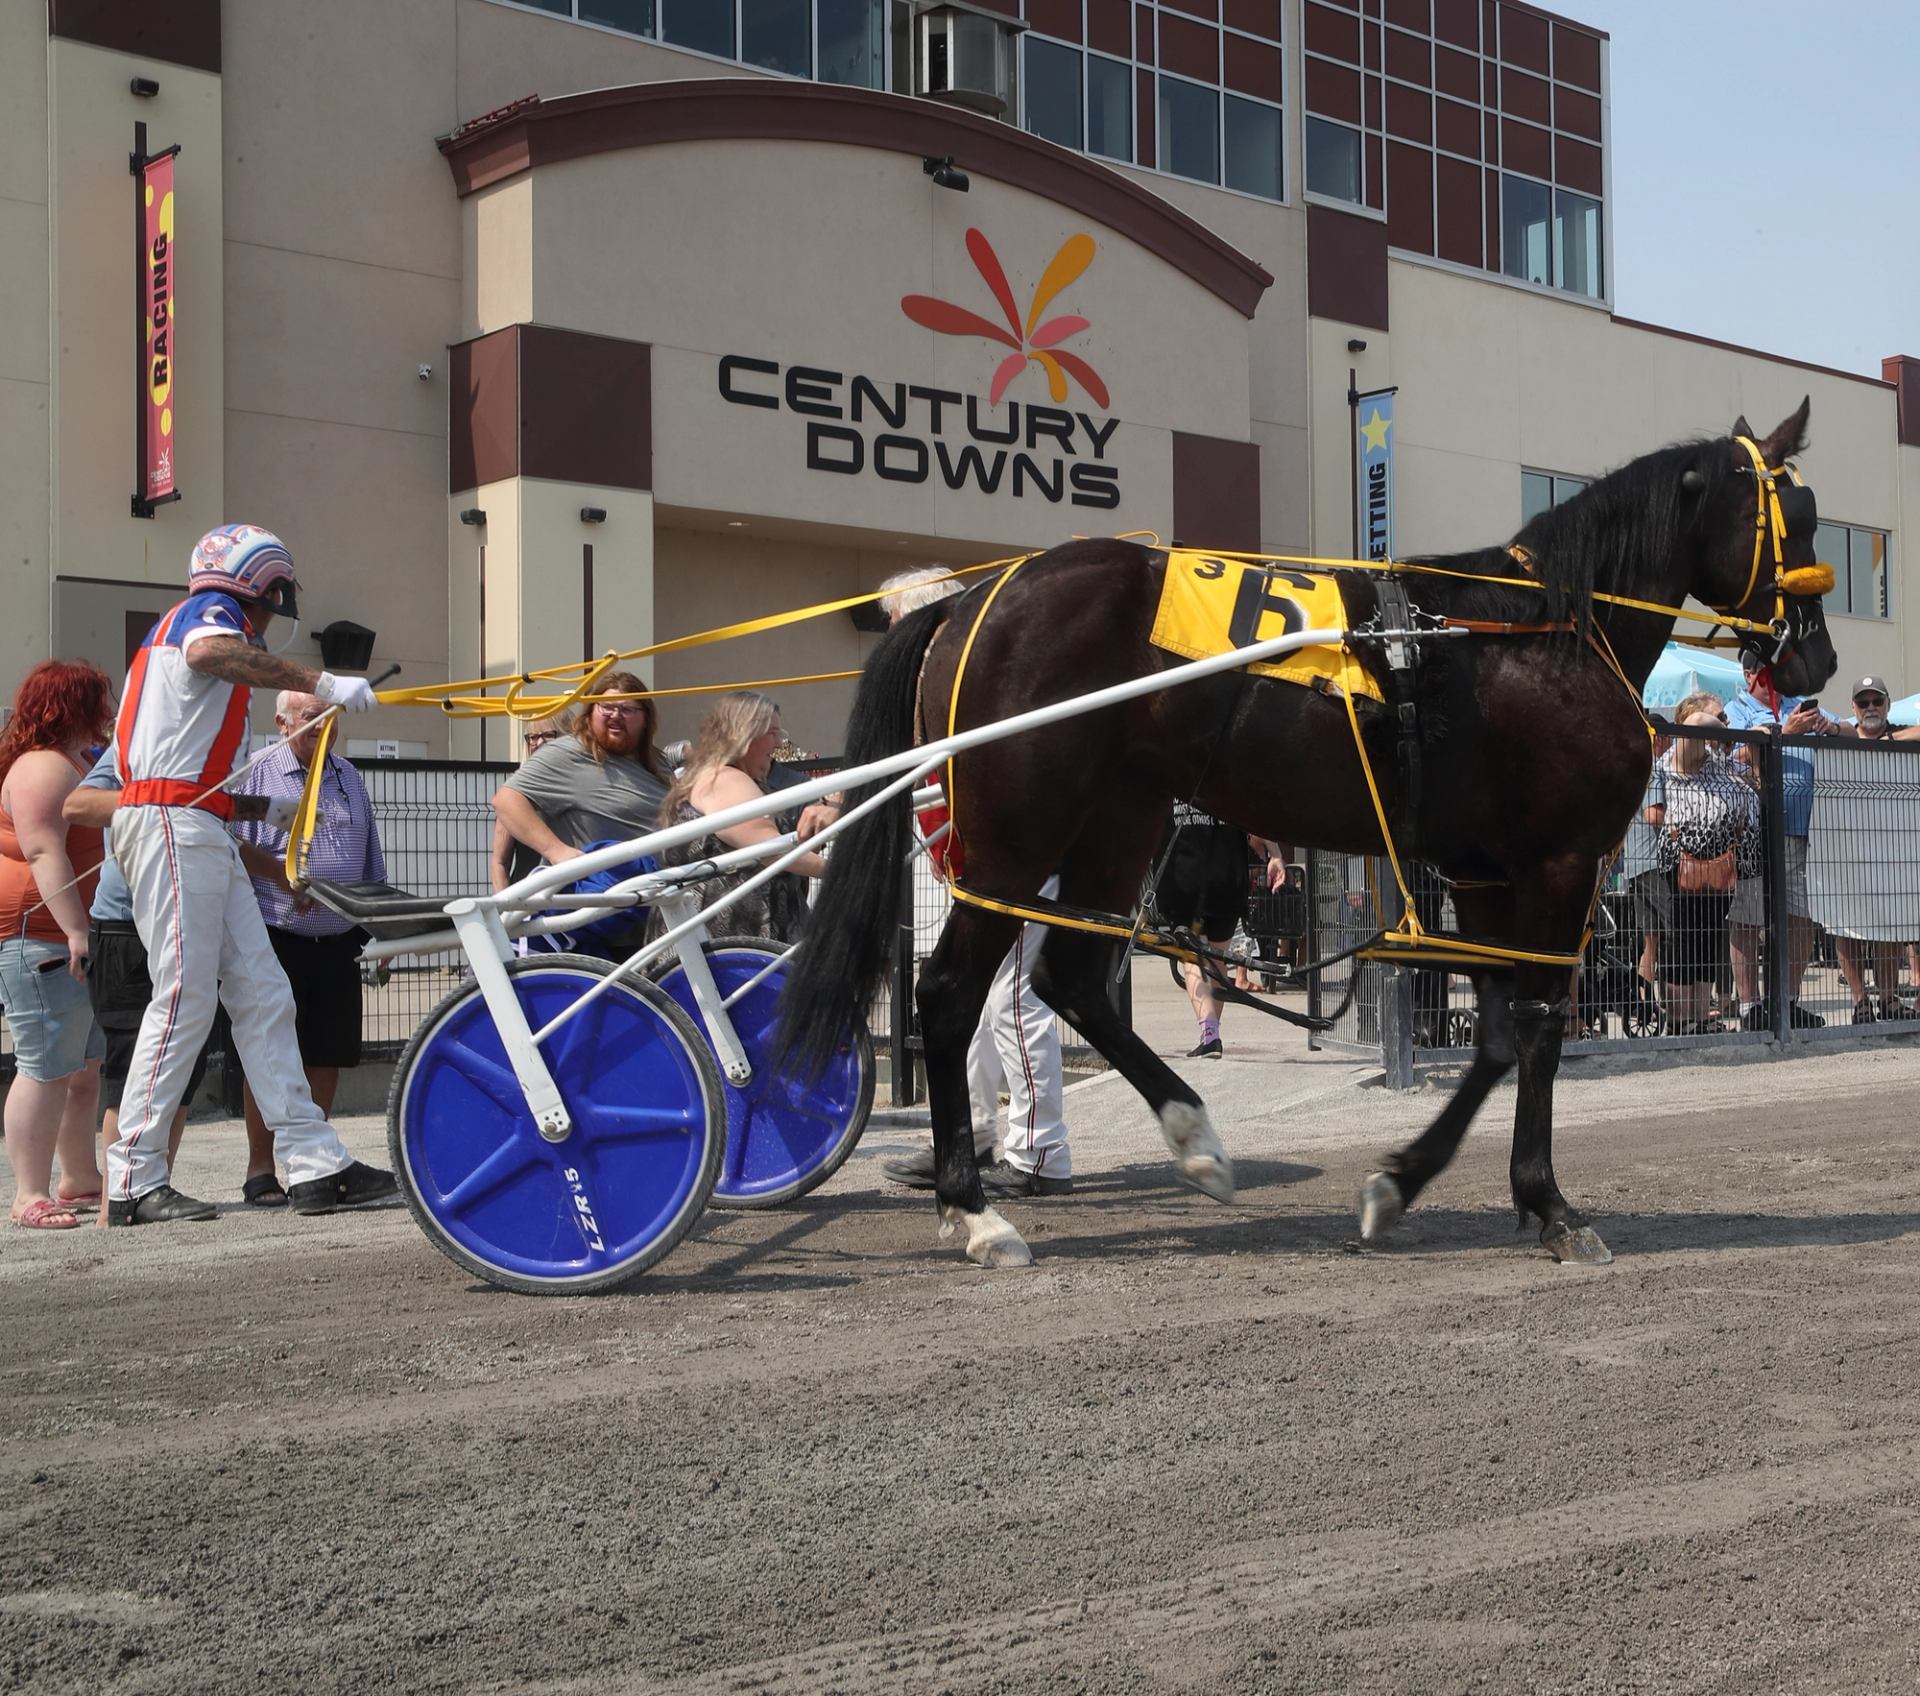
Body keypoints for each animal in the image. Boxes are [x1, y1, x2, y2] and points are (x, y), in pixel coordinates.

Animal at [778, 403, 1837, 1270]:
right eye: (1802, 514)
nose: (1816, 658)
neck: (1542, 636)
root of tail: (971, 600)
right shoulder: (1560, 863)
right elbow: (1536, 1027)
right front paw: (1541, 1204)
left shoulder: (1486, 872)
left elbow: (1500, 1034)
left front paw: (1419, 1185)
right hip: (1013, 839)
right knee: (953, 993)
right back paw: (974, 1207)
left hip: (1121, 819)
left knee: (1068, 981)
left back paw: (1191, 1139)